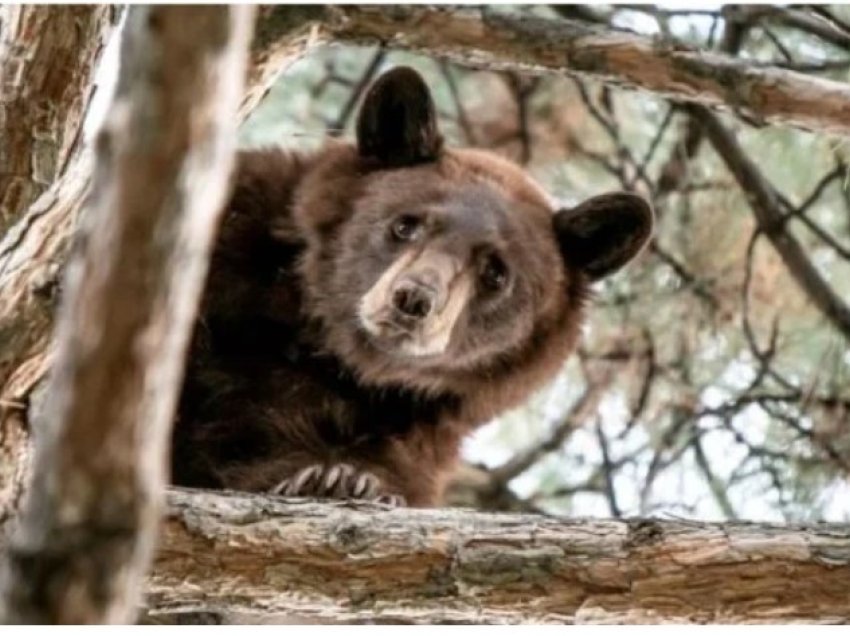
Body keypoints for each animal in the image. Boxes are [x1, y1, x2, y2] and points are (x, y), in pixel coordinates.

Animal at [171, 66, 648, 506]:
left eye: (496, 272)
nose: (413, 299)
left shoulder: (413, 437)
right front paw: (326, 480)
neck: (330, 354)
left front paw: (343, 480)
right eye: (405, 224)